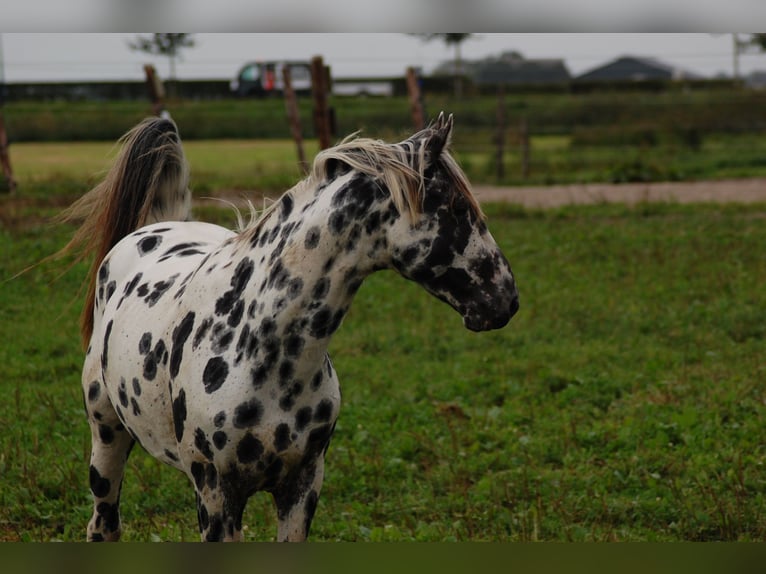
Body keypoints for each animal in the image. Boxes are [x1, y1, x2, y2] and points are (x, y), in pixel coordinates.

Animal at [64, 113, 520, 544]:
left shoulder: (302, 485)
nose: (506, 299)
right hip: (107, 438)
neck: (264, 347)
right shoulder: (216, 495)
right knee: (103, 525)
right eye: (457, 208)